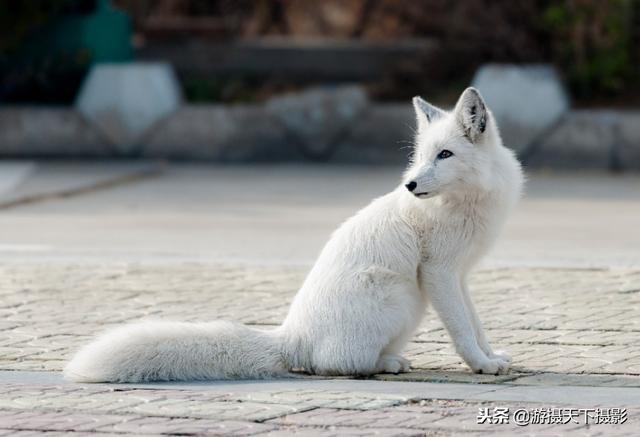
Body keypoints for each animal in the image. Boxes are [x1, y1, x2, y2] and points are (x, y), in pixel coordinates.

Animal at [65, 87, 524, 380]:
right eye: (420, 156)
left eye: (444, 155)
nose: (410, 184)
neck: (471, 201)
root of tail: (292, 339)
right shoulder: (439, 273)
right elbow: (462, 329)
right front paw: (480, 366)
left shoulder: (460, 276)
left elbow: (476, 323)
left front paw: (492, 357)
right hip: (404, 298)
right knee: (335, 364)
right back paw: (384, 364)